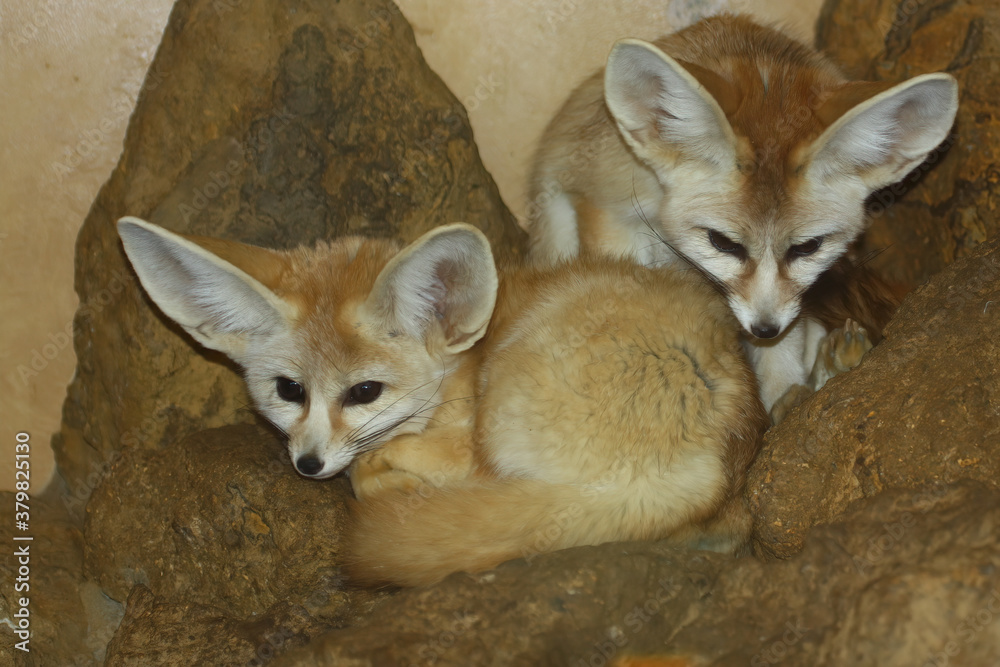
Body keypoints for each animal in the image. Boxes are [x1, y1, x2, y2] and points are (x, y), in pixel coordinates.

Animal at [117, 217, 767, 587]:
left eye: (364, 392)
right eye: (289, 390)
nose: (308, 465)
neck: (462, 364)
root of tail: (711, 473)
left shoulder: (456, 441)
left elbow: (375, 464)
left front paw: (377, 475)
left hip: (506, 407)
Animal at [525, 14, 958, 418]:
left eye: (808, 247)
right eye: (722, 243)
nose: (764, 329)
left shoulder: (789, 306)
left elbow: (784, 352)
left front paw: (783, 396)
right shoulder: (607, 208)